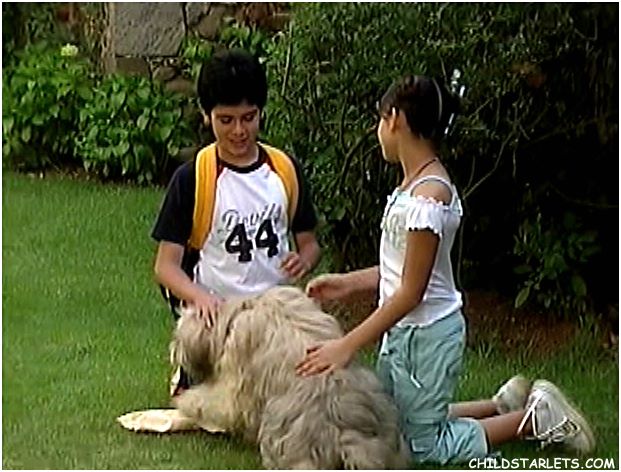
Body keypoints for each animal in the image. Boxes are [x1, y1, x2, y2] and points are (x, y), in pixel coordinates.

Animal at [169, 286, 410, 469]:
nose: (173, 351)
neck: (238, 312)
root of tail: (347, 435)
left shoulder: (236, 382)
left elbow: (220, 403)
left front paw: (185, 400)